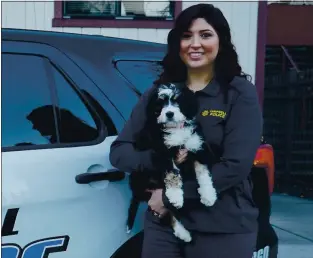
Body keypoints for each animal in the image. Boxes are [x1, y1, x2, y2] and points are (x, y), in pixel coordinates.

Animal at [127, 82, 217, 242]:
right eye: (160, 103)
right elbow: (172, 173)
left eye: (177, 101)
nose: (169, 114)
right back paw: (183, 232)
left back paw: (183, 232)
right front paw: (175, 196)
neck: (176, 128)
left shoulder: (195, 145)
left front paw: (208, 195)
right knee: (167, 211)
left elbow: (203, 172)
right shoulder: (162, 152)